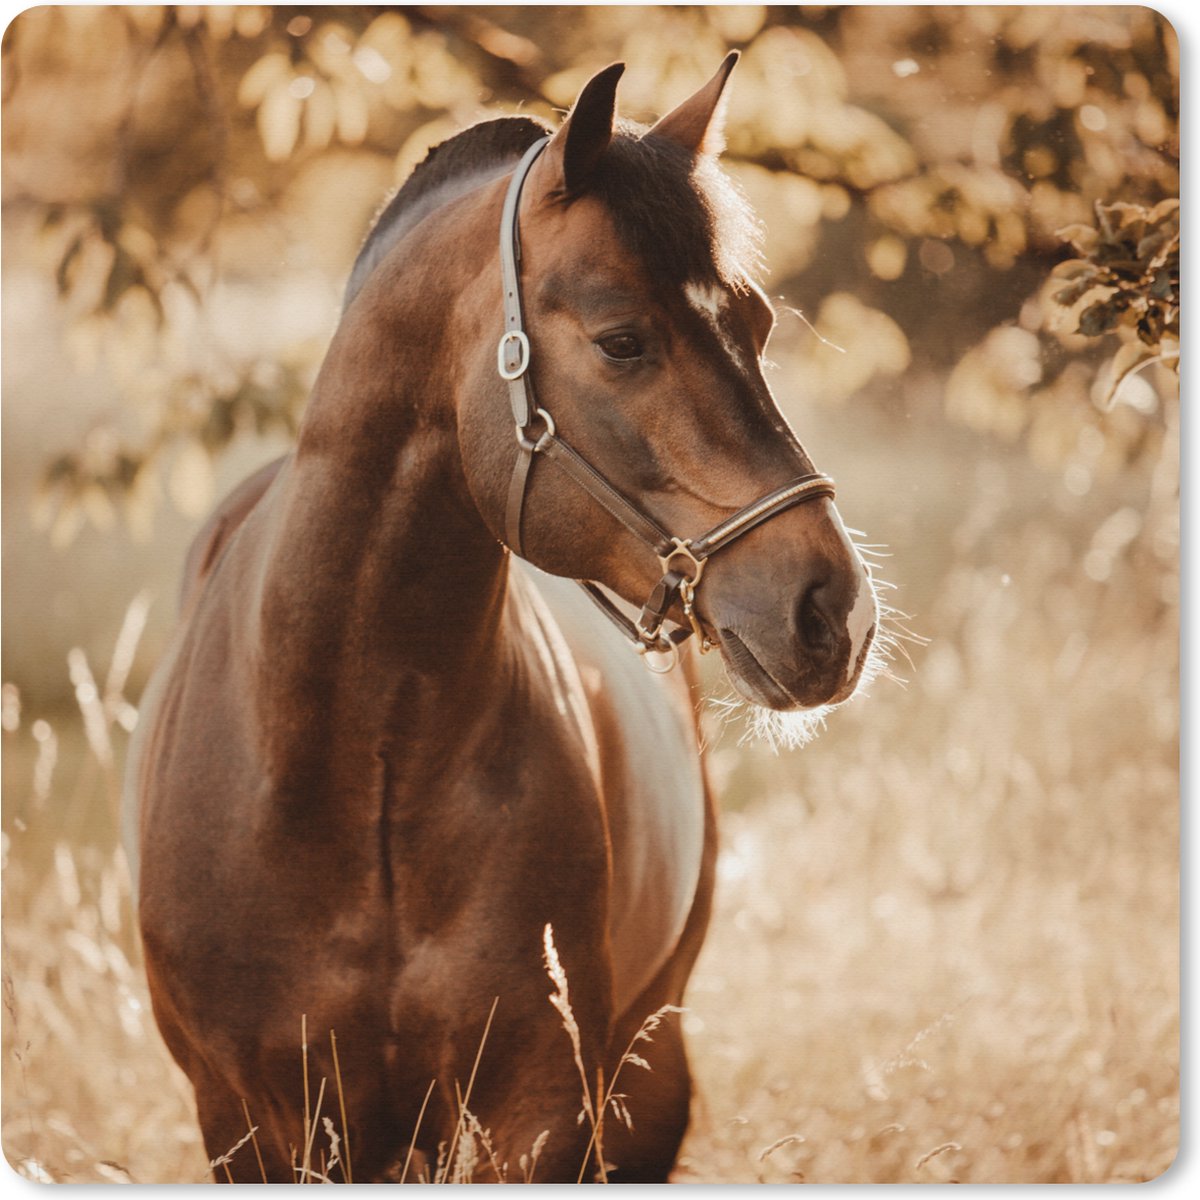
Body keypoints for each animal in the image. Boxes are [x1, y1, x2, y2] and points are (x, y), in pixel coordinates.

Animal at [126, 53, 878, 1183]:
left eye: (756, 326)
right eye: (622, 341)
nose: (836, 610)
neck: (350, 766)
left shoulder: (541, 1110)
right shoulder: (251, 1119)